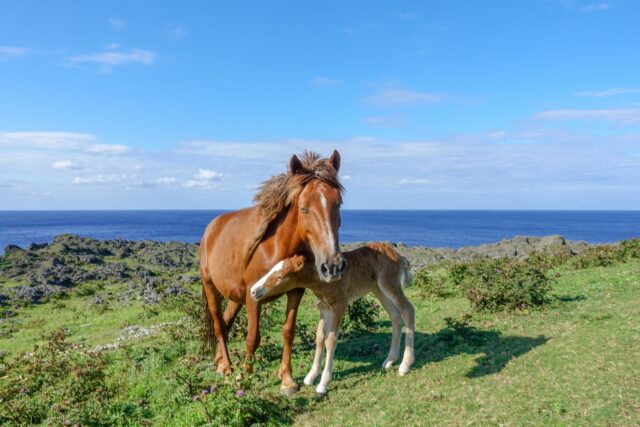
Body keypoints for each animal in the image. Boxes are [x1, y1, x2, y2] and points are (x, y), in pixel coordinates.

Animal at [201, 152, 348, 396]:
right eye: (304, 208)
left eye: (338, 204)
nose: (332, 266)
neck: (276, 246)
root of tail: (212, 227)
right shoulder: (253, 296)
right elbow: (252, 337)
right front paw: (245, 377)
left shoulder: (296, 291)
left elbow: (289, 332)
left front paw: (286, 380)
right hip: (210, 286)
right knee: (219, 325)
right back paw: (229, 368)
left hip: (235, 296)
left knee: (227, 321)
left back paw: (221, 363)